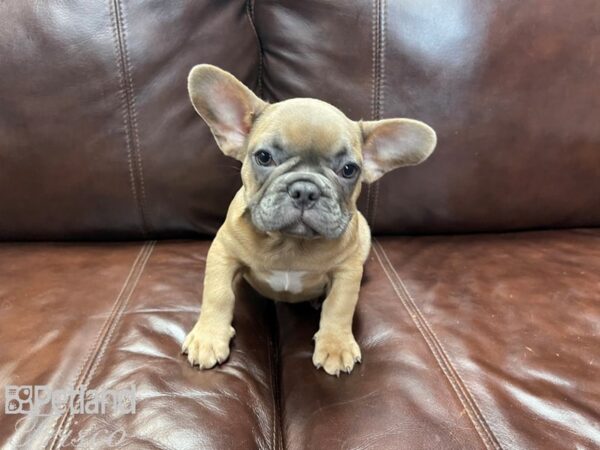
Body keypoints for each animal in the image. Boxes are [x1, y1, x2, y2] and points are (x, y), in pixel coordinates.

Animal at [182, 64, 436, 376]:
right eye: (264, 157)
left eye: (349, 170)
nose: (305, 190)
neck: (291, 243)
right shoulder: (223, 253)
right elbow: (217, 295)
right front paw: (208, 337)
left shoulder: (347, 271)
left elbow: (339, 307)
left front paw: (336, 346)